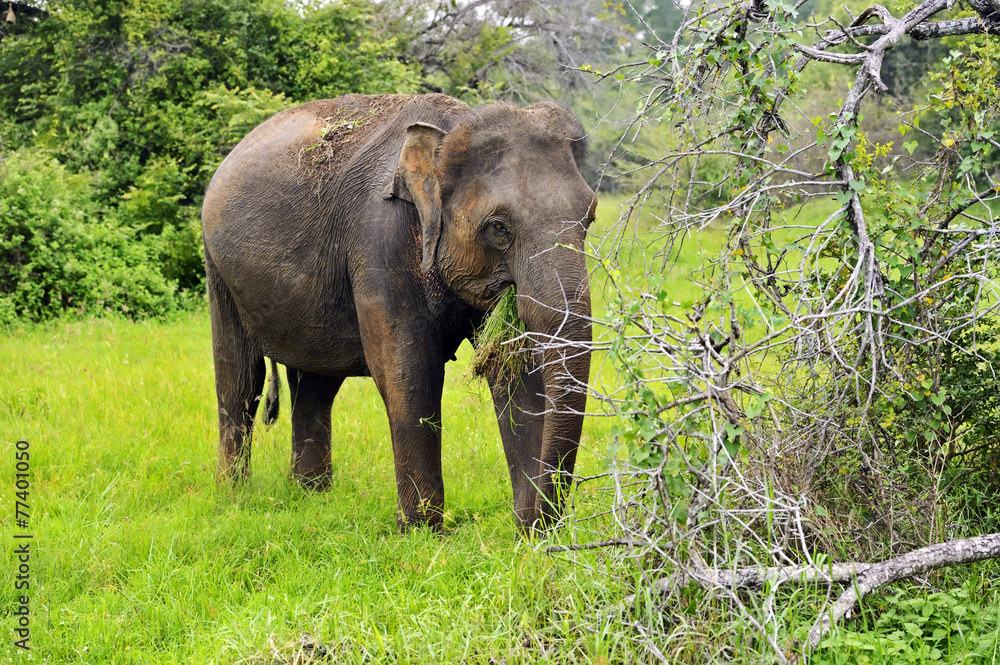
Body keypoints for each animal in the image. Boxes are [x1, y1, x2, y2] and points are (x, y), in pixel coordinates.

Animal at [201, 93, 595, 531]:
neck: (451, 129)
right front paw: (423, 533)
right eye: (498, 228)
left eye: (590, 217)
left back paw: (311, 496)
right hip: (219, 270)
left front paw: (530, 536)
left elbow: (513, 370)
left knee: (315, 385)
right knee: (240, 379)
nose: (547, 522)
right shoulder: (378, 242)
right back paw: (233, 495)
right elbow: (407, 371)